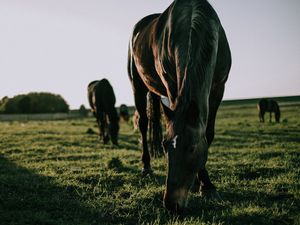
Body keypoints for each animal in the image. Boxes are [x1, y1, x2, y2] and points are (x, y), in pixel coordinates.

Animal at [127, 0, 232, 212]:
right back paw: (146, 167)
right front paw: (204, 184)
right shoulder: (172, 85)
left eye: (191, 148)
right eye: (166, 146)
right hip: (138, 86)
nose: (171, 204)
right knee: (143, 123)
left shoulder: (218, 88)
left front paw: (205, 185)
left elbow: (208, 134)